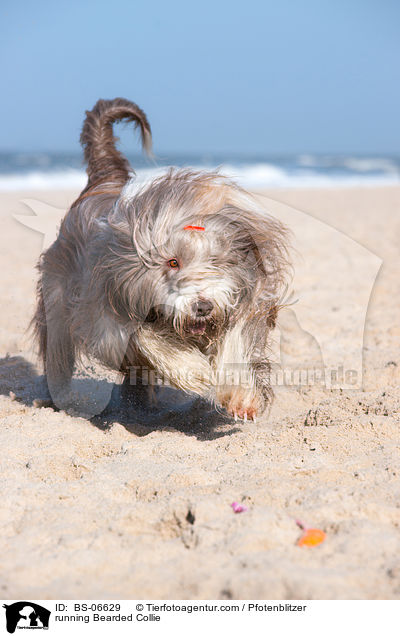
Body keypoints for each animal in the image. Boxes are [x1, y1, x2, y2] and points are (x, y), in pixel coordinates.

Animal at [32, 97, 290, 420]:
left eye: (216, 262)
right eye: (173, 262)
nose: (202, 307)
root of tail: (101, 184)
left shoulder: (248, 298)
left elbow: (237, 340)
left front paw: (241, 396)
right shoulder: (109, 314)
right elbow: (147, 338)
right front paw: (193, 371)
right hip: (57, 300)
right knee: (58, 353)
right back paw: (64, 397)